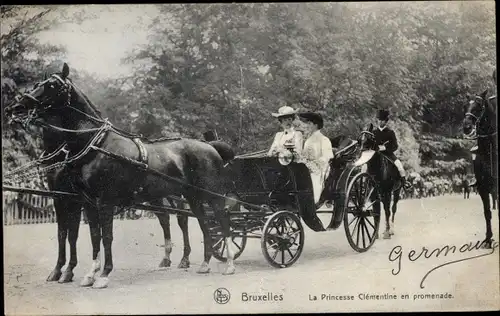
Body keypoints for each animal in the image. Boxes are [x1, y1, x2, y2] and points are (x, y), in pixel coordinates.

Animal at [5, 62, 236, 288]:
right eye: (38, 83)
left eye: (52, 85)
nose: (16, 107)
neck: (96, 145)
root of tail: (210, 146)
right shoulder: (84, 201)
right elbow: (92, 236)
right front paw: (88, 274)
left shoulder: (102, 201)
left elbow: (104, 236)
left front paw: (103, 274)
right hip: (191, 196)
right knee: (201, 223)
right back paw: (204, 263)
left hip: (212, 196)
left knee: (221, 222)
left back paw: (229, 264)